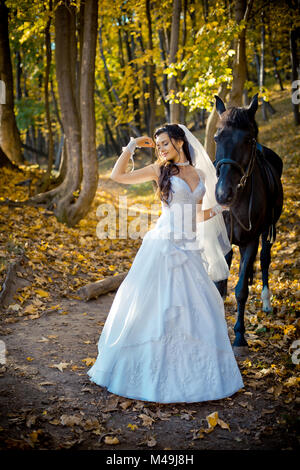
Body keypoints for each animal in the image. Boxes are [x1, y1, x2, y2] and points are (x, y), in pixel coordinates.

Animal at [213, 93, 284, 354]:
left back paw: (266, 300)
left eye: (248, 139)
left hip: (268, 231)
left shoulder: (251, 240)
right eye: (217, 137)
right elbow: (220, 287)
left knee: (264, 260)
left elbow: (241, 290)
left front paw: (239, 336)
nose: (223, 194)